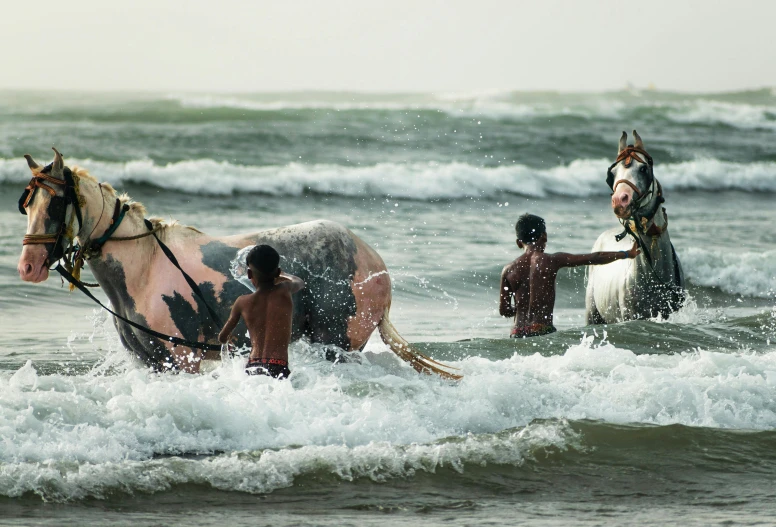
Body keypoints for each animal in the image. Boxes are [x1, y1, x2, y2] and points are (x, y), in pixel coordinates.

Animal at [16, 150, 460, 380]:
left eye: (56, 203)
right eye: (28, 204)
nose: (28, 267)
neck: (144, 269)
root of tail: (372, 258)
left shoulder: (185, 361)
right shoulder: (153, 364)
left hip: (338, 344)